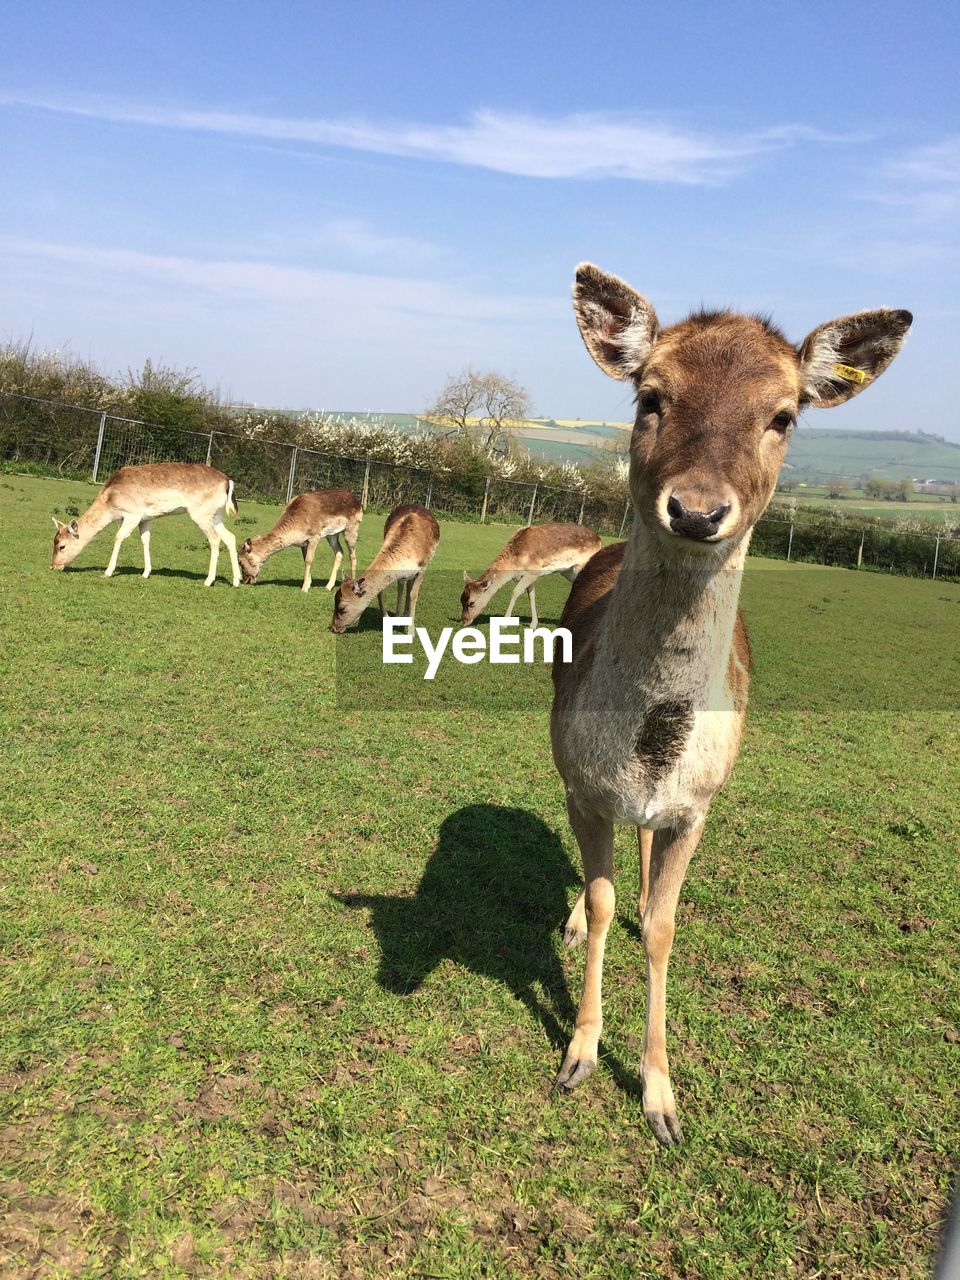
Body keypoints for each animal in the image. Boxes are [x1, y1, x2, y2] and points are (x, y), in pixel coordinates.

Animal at [48, 463, 244, 586]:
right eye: (54, 542)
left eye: (62, 546)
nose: (54, 566)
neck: (110, 502)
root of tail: (228, 482)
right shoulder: (146, 518)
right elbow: (145, 540)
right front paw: (145, 573)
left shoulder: (132, 514)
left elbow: (119, 537)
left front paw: (107, 572)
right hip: (216, 515)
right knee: (230, 537)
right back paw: (236, 581)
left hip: (201, 513)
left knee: (215, 539)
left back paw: (208, 581)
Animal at [327, 504, 440, 634]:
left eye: (342, 608)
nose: (333, 627)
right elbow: (381, 591)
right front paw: (389, 619)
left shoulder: (423, 568)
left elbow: (413, 594)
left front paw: (411, 632)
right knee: (402, 584)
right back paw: (399, 617)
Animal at [458, 522, 601, 632]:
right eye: (461, 599)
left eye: (471, 602)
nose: (463, 621)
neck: (514, 563)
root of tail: (600, 540)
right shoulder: (530, 577)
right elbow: (531, 596)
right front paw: (533, 625)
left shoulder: (533, 572)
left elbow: (515, 592)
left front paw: (504, 624)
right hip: (568, 571)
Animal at [552, 264, 911, 1146]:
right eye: (651, 395)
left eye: (783, 415)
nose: (697, 509)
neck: (652, 748)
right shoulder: (585, 783)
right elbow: (606, 902)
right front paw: (579, 1055)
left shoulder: (698, 806)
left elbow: (662, 925)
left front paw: (662, 1100)